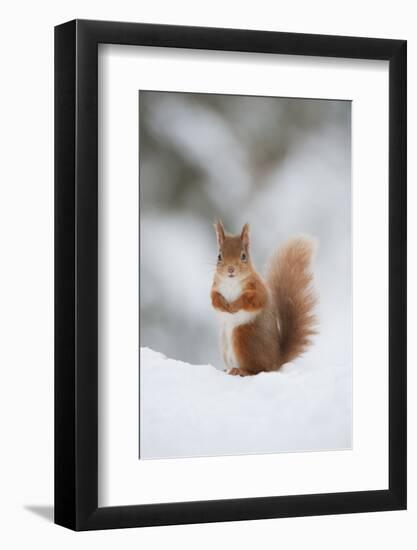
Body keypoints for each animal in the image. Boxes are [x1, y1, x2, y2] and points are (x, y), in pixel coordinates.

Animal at [211, 222, 316, 378]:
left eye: (243, 256)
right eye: (219, 256)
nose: (230, 269)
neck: (231, 282)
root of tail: (275, 361)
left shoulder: (258, 289)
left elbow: (254, 300)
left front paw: (234, 305)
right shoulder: (215, 287)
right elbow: (214, 300)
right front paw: (223, 305)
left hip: (243, 335)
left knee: (258, 369)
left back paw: (241, 370)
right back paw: (227, 370)